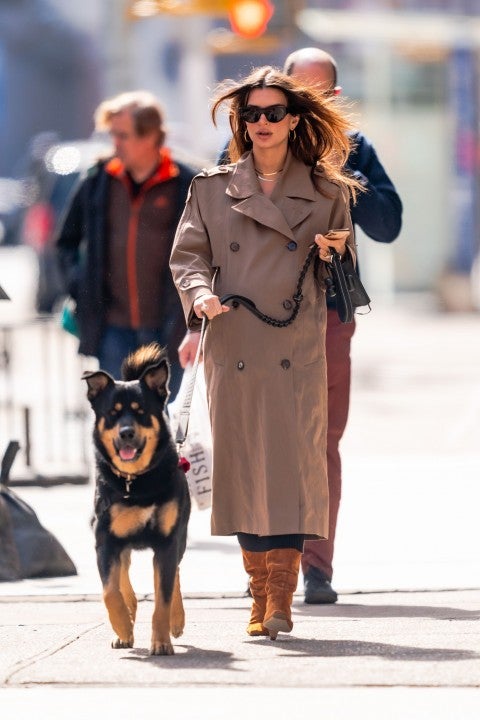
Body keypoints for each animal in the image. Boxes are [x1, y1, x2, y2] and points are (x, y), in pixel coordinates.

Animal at [82, 346, 189, 656]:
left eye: (141, 413)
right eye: (112, 414)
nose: (126, 432)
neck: (136, 482)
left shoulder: (167, 541)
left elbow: (163, 596)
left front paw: (162, 640)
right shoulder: (105, 539)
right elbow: (110, 590)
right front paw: (122, 626)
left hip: (179, 537)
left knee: (174, 575)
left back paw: (177, 619)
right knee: (123, 575)